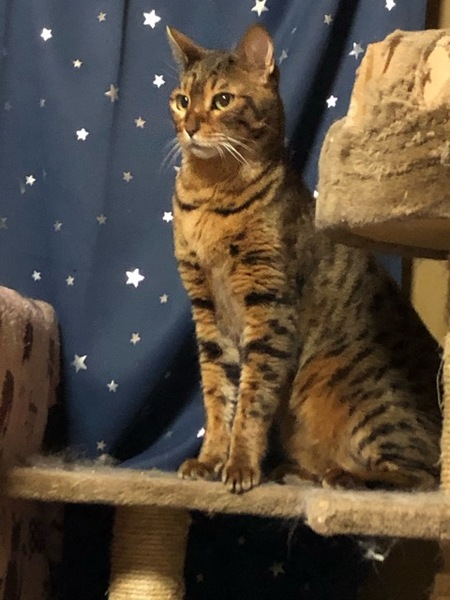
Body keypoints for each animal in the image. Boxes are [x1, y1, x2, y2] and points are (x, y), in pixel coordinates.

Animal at [166, 24, 442, 494]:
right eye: (182, 99)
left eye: (223, 100)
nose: (189, 126)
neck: (209, 193)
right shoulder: (205, 308)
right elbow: (218, 396)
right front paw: (209, 460)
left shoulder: (270, 305)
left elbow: (252, 401)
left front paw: (239, 466)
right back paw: (297, 472)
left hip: (363, 401)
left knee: (420, 474)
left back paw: (342, 476)